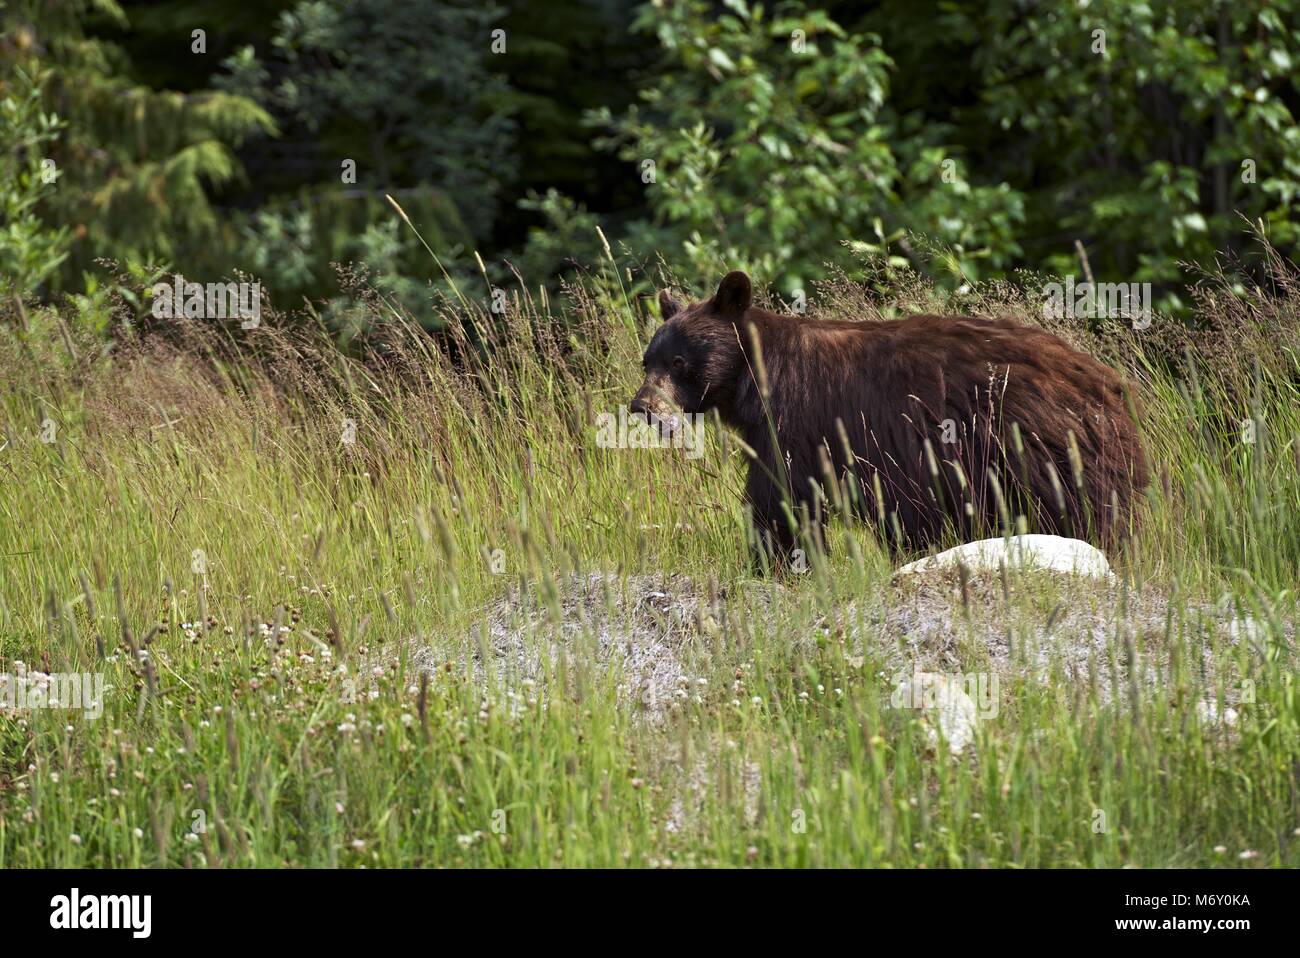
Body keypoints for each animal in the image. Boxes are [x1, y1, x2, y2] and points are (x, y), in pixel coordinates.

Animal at [629, 269, 1149, 566]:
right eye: (647, 360)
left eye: (679, 362)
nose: (643, 408)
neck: (754, 378)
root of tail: (1109, 388)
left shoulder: (797, 427)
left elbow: (781, 501)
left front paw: (776, 565)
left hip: (1036, 444)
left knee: (1075, 511)